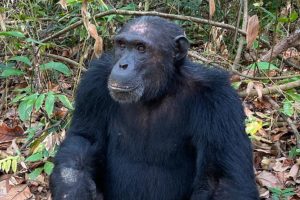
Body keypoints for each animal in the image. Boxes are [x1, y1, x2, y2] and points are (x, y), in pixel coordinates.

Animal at [48, 16, 258, 200]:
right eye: (122, 45)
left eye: (141, 48)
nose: (123, 65)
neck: (159, 92)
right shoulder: (94, 85)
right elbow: (84, 139)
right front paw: (73, 192)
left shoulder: (219, 101)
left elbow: (223, 179)